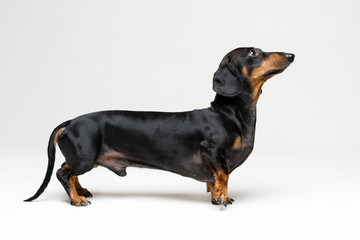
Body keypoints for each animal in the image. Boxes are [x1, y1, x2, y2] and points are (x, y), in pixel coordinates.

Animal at [25, 47, 296, 206]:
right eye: (253, 53)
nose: (291, 55)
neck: (230, 113)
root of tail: (70, 121)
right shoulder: (213, 151)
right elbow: (223, 176)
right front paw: (221, 198)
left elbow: (215, 179)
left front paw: (215, 193)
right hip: (84, 157)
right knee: (63, 173)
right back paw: (76, 199)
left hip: (86, 159)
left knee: (68, 171)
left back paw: (81, 191)